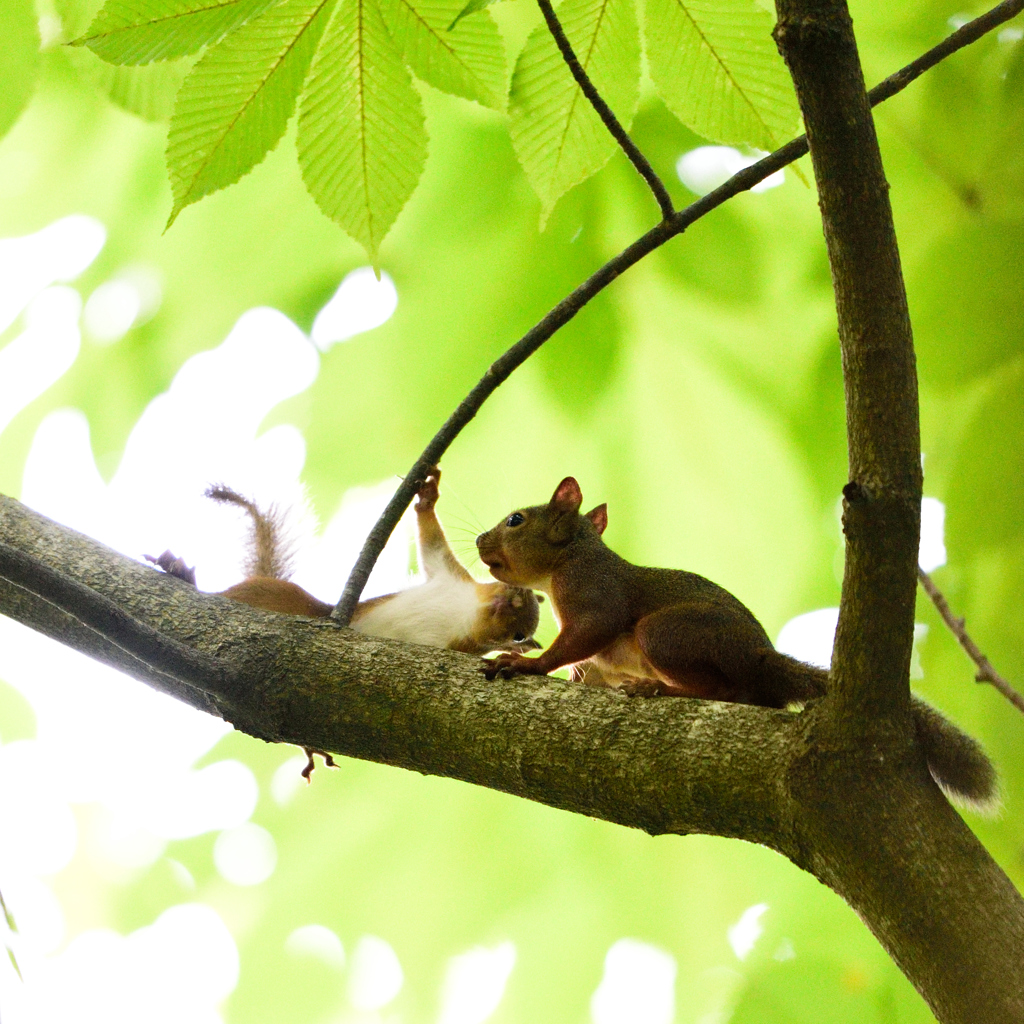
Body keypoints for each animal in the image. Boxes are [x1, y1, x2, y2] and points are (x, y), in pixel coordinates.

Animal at [149, 468, 544, 655]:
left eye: (520, 633)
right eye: (511, 585)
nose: (509, 602)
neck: (466, 611)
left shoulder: (459, 648)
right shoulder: (448, 575)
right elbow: (432, 543)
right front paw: (427, 496)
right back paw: (181, 574)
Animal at [479, 475, 999, 811]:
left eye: (516, 520)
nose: (482, 540)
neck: (568, 557)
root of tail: (762, 656)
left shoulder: (595, 592)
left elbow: (589, 632)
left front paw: (527, 665)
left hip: (668, 634)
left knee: (728, 691)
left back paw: (659, 688)